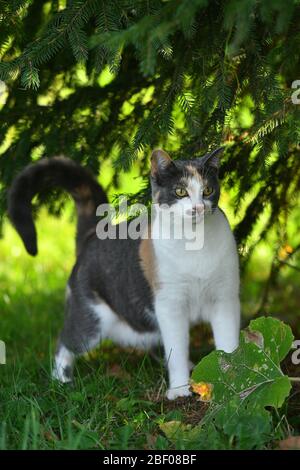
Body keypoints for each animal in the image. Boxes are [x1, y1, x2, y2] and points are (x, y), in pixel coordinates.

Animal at [8, 149, 240, 398]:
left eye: (207, 190)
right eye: (180, 191)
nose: (198, 208)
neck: (195, 244)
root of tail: (94, 234)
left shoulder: (225, 299)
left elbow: (228, 344)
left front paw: (233, 383)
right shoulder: (170, 304)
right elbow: (176, 350)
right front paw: (179, 390)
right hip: (91, 319)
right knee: (66, 342)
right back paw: (61, 382)